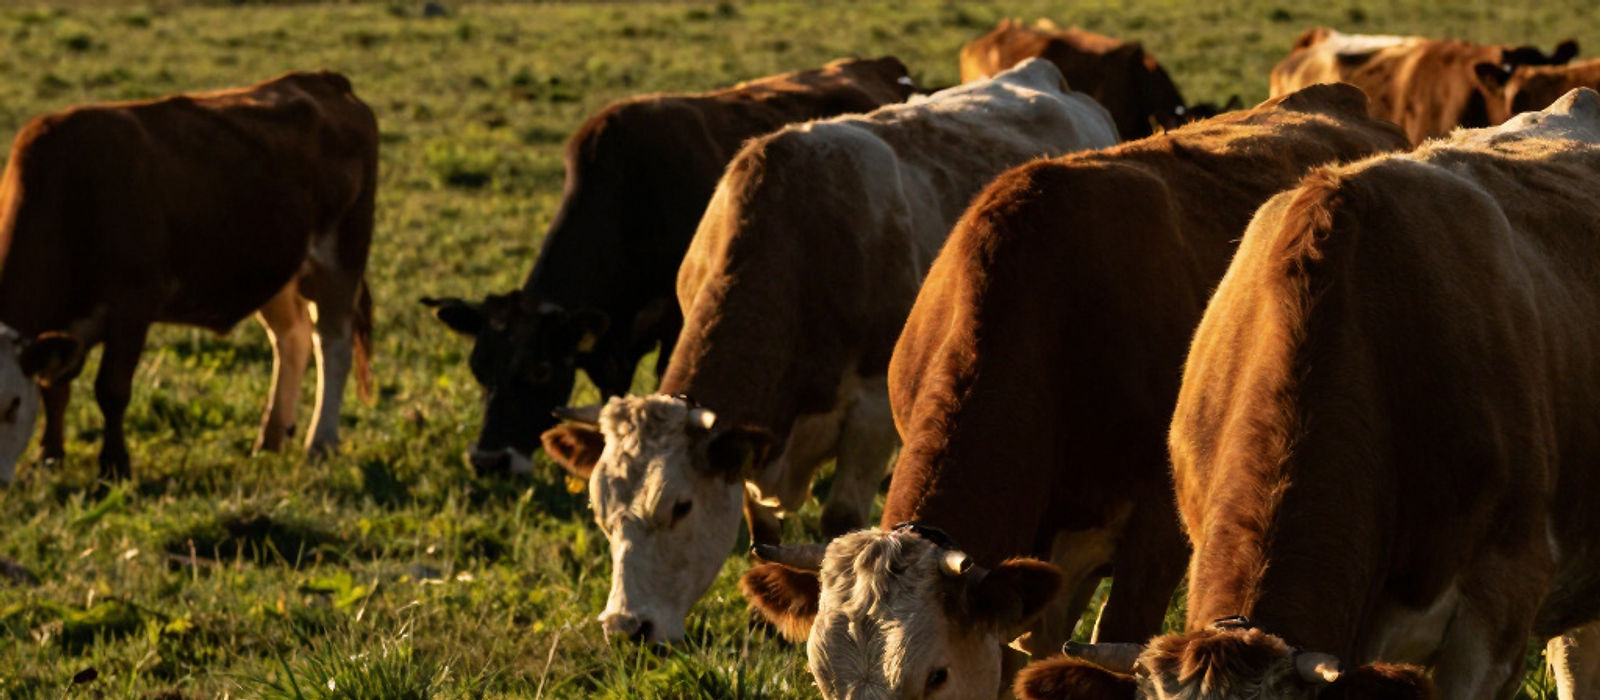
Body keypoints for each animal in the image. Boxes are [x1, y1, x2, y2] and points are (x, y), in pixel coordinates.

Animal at [0, 71, 376, 483]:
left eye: (12, 404)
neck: (70, 193)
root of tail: (324, 80)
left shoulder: (133, 305)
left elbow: (111, 389)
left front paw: (114, 466)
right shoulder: (65, 327)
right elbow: (55, 388)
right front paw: (50, 456)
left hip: (341, 255)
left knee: (333, 346)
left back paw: (320, 442)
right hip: (278, 270)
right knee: (292, 337)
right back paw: (270, 438)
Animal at [420, 57, 915, 475]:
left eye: (539, 370)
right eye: (477, 367)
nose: (488, 460)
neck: (626, 201)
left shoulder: (676, 324)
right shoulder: (609, 349)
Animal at [537, 59, 1119, 644]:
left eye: (680, 507)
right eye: (601, 512)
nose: (625, 628)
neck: (800, 243)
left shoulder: (870, 414)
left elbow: (838, 520)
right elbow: (760, 528)